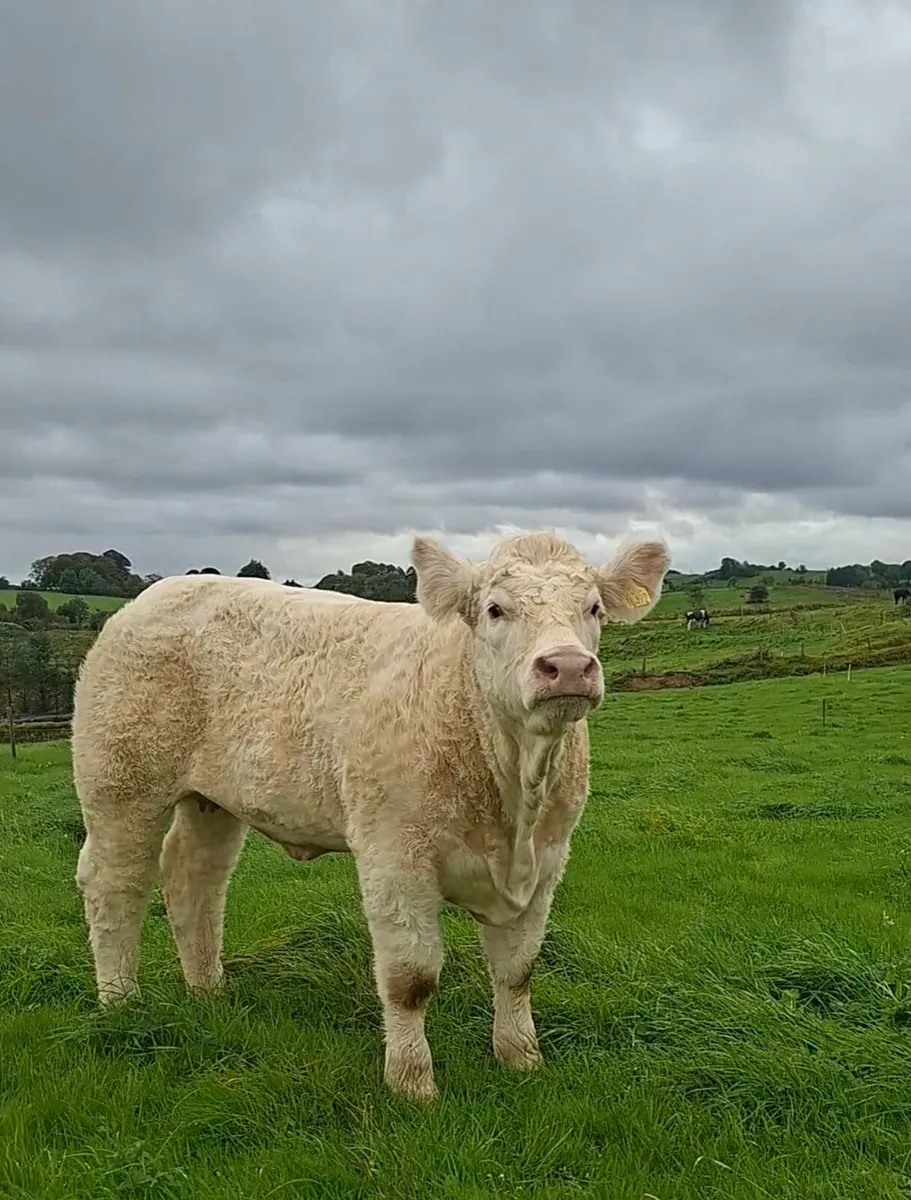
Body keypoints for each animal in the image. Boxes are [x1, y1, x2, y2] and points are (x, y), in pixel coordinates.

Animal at [71, 530, 670, 1103]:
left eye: (593, 608)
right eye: (496, 609)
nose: (567, 666)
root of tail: (158, 593)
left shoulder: (547, 860)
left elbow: (518, 969)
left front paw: (521, 1058)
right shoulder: (394, 855)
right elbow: (411, 978)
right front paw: (412, 1083)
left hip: (212, 800)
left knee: (193, 879)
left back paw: (207, 991)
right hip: (120, 782)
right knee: (115, 884)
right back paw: (120, 1001)